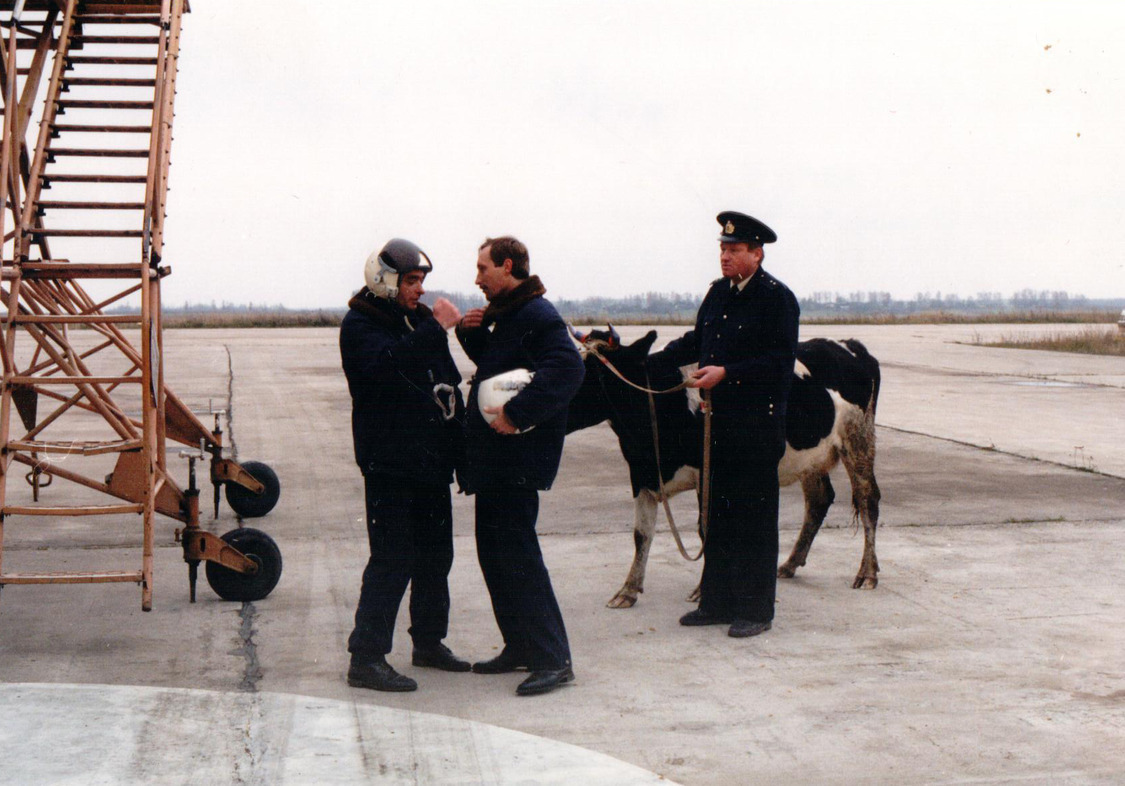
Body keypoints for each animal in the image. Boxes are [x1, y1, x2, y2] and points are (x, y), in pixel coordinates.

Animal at [567, 326, 882, 607]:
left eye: (590, 372)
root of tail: (850, 345)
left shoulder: (710, 473)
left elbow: (706, 529)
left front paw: (703, 590)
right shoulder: (641, 474)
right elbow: (641, 534)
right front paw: (628, 590)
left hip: (859, 439)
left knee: (868, 500)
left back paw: (867, 573)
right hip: (811, 458)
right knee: (819, 500)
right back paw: (790, 564)